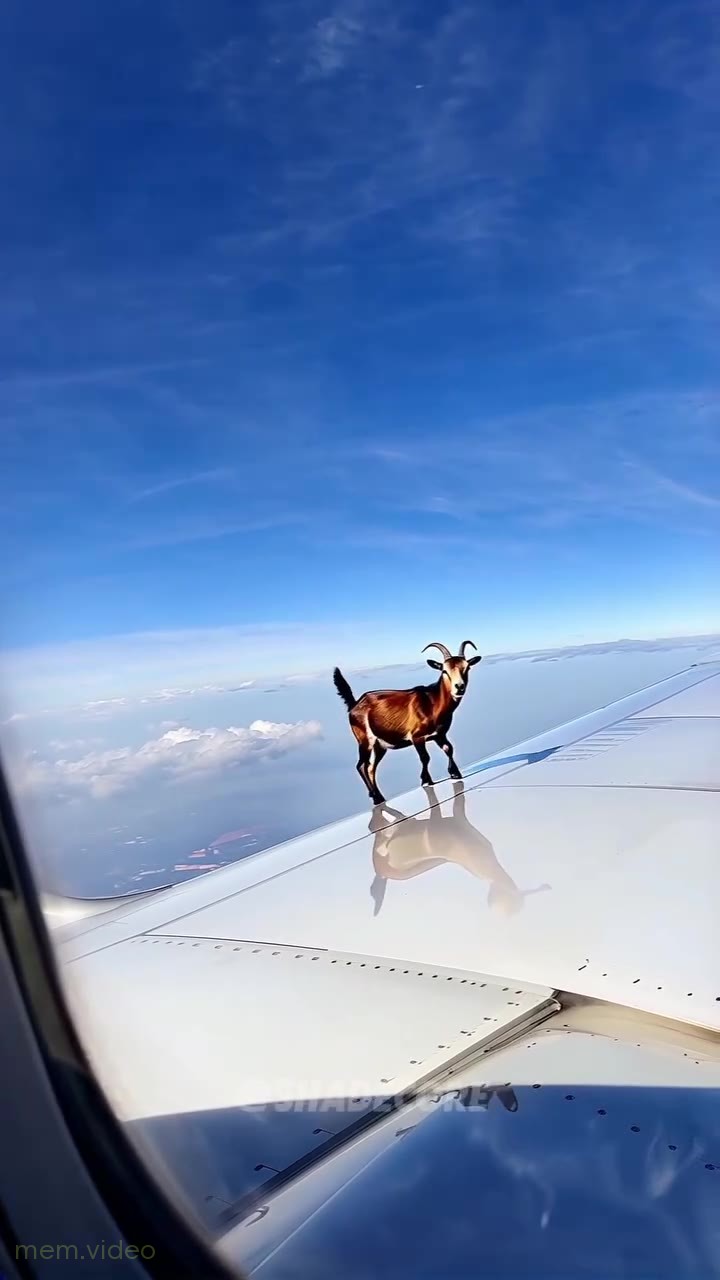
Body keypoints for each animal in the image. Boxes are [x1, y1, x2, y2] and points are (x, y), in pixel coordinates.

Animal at [332, 640, 481, 805]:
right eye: (444, 670)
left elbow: (448, 748)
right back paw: (376, 798)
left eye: (467, 667)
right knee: (361, 766)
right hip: (365, 741)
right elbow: (425, 757)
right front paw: (426, 780)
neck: (432, 703)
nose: (459, 687)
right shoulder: (417, 737)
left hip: (379, 746)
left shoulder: (439, 734)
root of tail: (354, 705)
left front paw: (455, 773)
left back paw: (379, 796)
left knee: (371, 768)